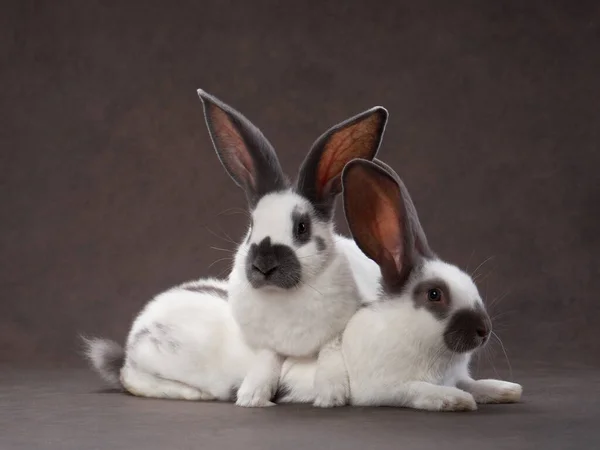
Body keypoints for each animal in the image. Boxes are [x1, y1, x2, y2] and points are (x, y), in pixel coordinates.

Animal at [82, 90, 386, 408]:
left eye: (302, 227)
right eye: (252, 225)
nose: (263, 265)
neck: (285, 299)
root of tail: (130, 343)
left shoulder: (340, 329)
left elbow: (330, 350)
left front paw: (330, 394)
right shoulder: (266, 343)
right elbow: (268, 358)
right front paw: (253, 395)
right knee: (132, 378)